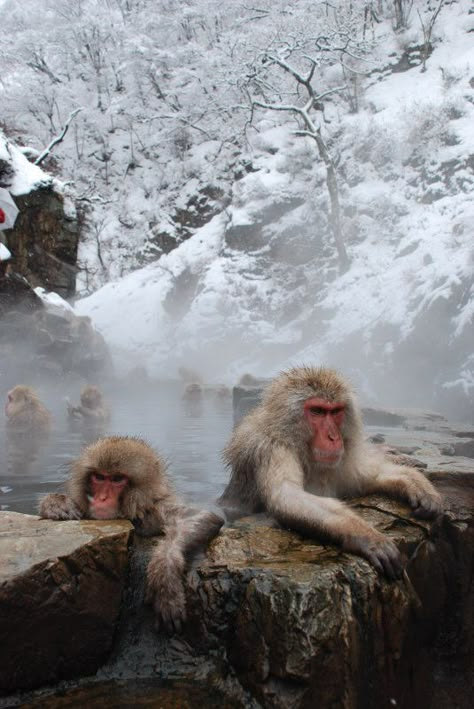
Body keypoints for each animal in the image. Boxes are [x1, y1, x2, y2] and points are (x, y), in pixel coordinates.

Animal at [40, 436, 224, 632]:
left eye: (117, 479)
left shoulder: (155, 510)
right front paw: (56, 504)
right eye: (99, 477)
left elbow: (200, 516)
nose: (102, 498)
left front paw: (164, 575)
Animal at [220, 368, 442, 580]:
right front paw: (363, 535)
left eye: (335, 411)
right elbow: (287, 495)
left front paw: (417, 485)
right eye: (317, 411)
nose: (333, 437)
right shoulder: (270, 447)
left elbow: (368, 477)